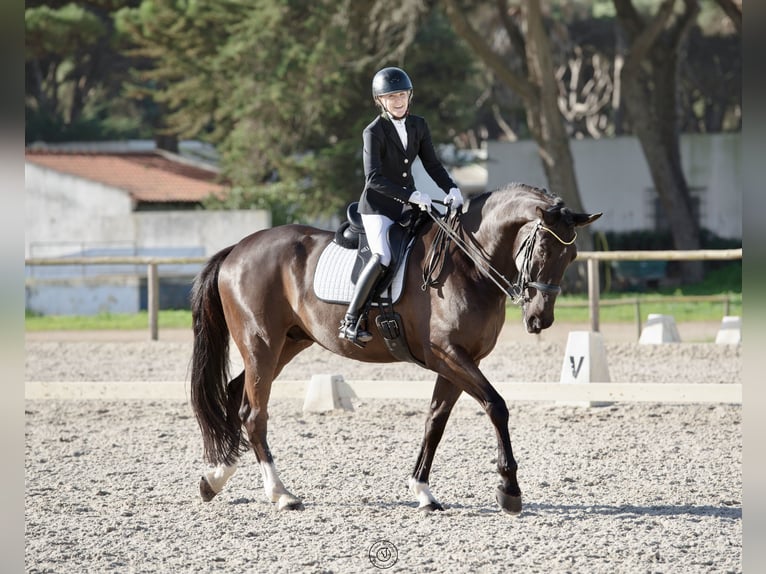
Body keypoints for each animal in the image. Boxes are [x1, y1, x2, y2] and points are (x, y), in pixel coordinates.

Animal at [189, 182, 604, 516]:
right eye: (542, 248)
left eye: (571, 256)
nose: (540, 319)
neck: (466, 265)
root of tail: (238, 249)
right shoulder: (447, 353)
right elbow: (496, 406)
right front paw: (509, 490)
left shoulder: (460, 359)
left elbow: (435, 420)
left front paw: (423, 492)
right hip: (261, 344)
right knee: (254, 413)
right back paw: (280, 494)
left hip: (288, 343)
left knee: (234, 396)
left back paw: (215, 477)